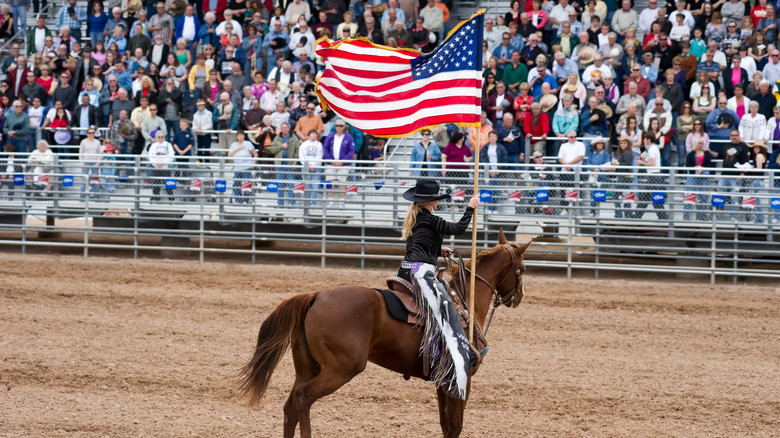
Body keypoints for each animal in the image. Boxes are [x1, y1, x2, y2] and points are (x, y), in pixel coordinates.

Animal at [238, 229, 532, 438]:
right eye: (523, 268)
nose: (519, 296)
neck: (464, 300)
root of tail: (315, 296)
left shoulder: (442, 381)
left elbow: (446, 425)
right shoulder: (461, 378)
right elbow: (455, 427)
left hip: (307, 367)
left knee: (290, 406)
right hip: (341, 369)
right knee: (302, 398)